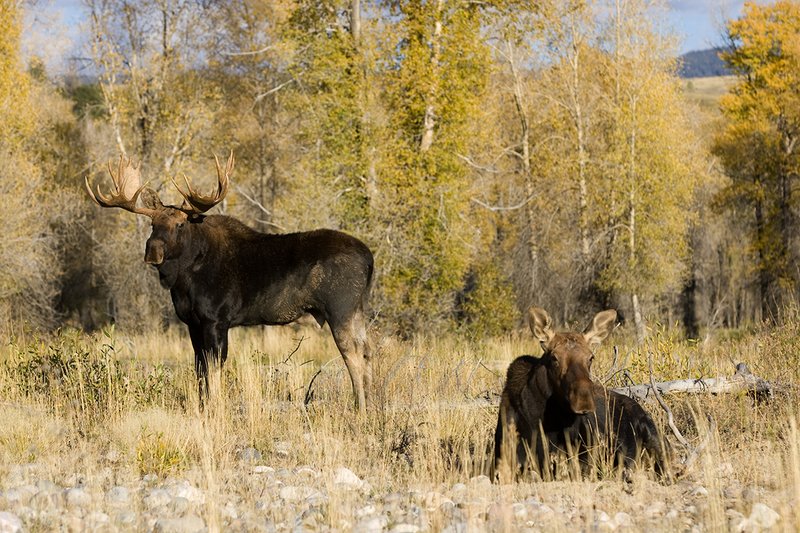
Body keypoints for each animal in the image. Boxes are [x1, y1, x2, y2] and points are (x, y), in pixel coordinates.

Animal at [85, 154, 374, 411]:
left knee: (352, 355)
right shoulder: (192, 323)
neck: (183, 281)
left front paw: (215, 407)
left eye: (180, 224)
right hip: (357, 310)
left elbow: (215, 368)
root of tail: (369, 258)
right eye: (152, 223)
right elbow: (199, 368)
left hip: (340, 310)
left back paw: (360, 407)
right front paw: (203, 407)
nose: (152, 251)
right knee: (366, 351)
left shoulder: (216, 320)